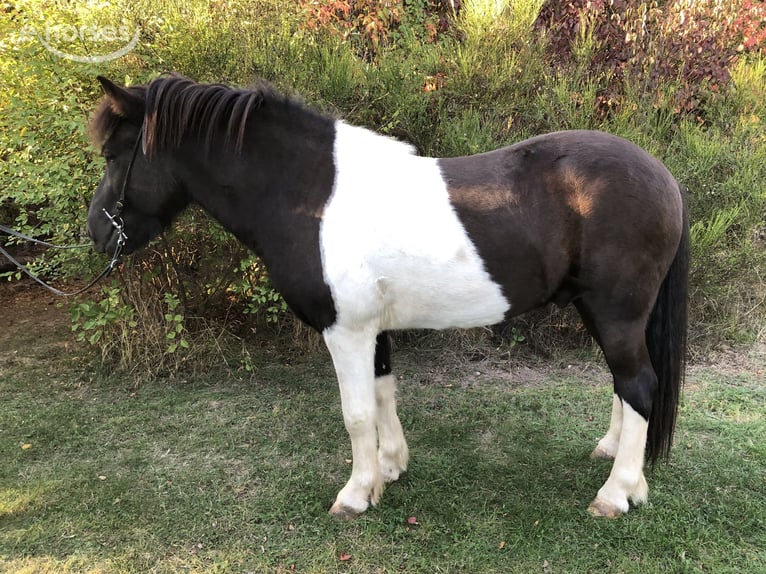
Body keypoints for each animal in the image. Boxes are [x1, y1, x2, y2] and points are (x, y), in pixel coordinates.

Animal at [86, 74, 688, 519]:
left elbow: (355, 413)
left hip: (616, 312)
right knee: (625, 384)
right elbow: (382, 396)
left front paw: (355, 494)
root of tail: (662, 174)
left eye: (116, 153)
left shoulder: (345, 331)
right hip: (605, 313)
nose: (96, 233)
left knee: (639, 384)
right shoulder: (371, 330)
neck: (311, 194)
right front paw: (390, 468)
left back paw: (616, 492)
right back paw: (617, 461)